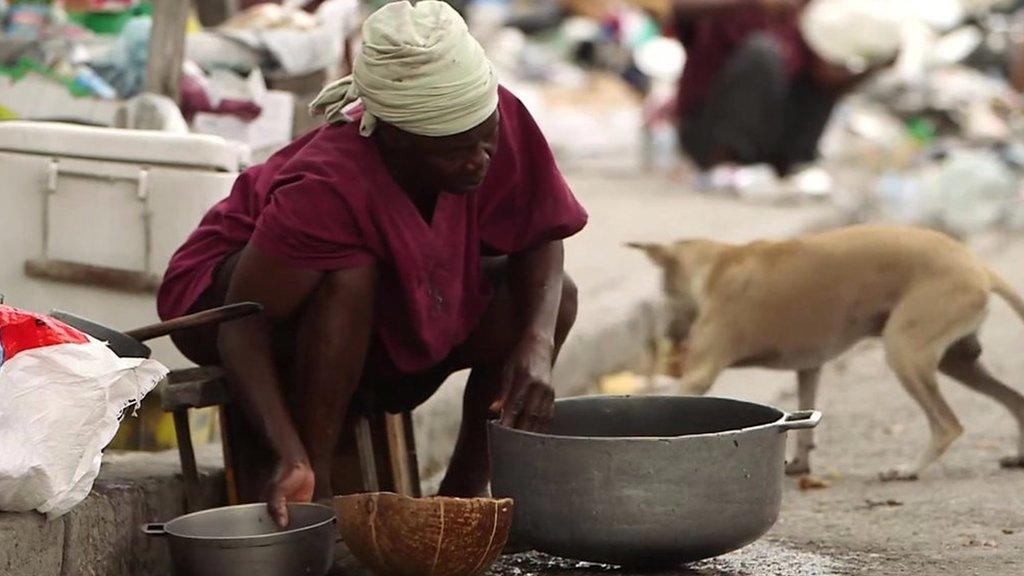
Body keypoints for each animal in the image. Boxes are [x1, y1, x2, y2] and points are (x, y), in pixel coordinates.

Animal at [626, 225, 1024, 479]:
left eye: (665, 292)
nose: (671, 337)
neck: (717, 264)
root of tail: (979, 265)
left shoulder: (699, 374)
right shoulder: (810, 367)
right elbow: (804, 427)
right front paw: (799, 465)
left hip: (906, 352)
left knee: (947, 425)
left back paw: (908, 470)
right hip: (958, 361)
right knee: (1015, 401)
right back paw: (1018, 457)